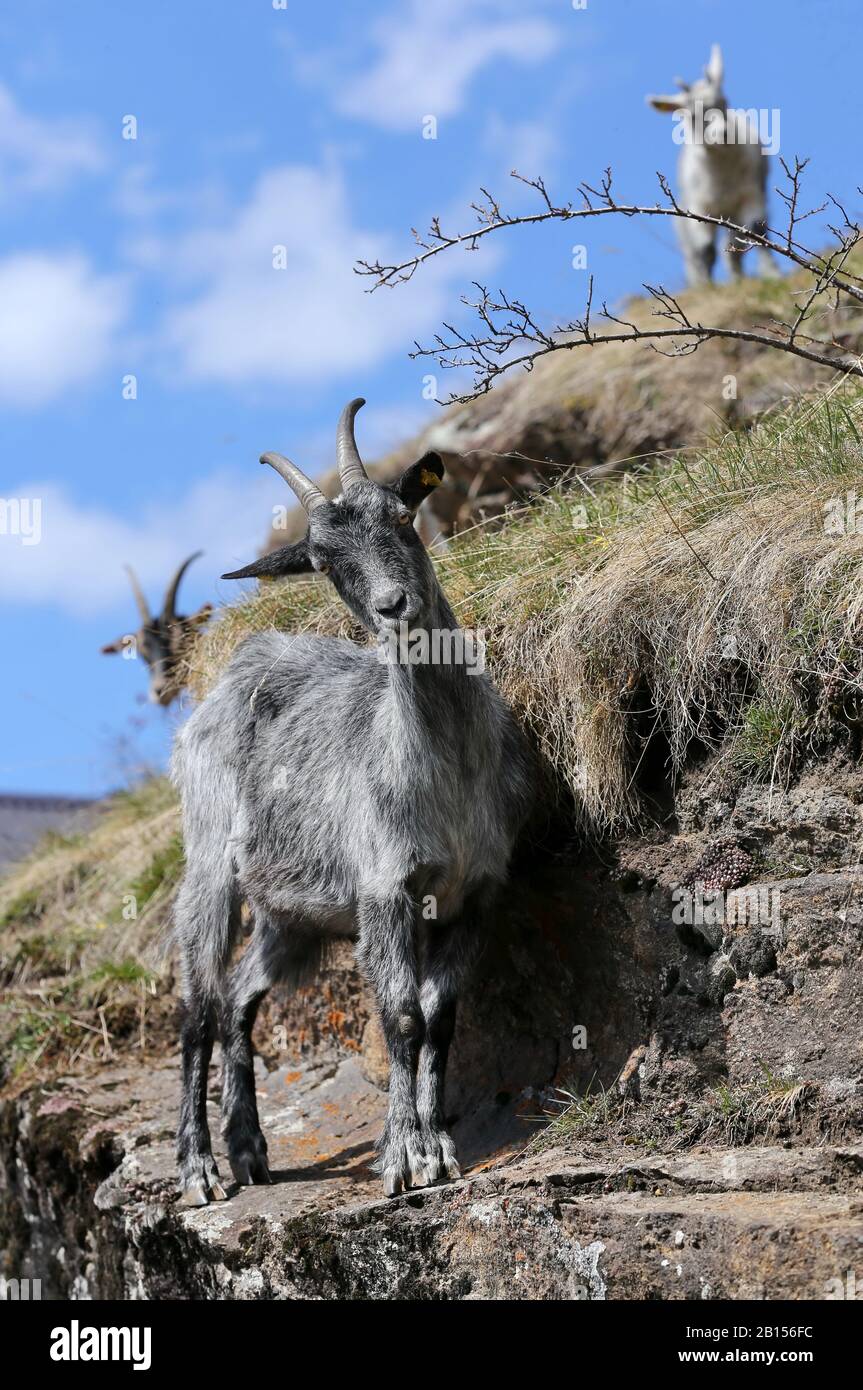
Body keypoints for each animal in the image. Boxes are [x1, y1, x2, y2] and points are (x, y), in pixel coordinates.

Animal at [170, 397, 530, 1200]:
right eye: (326, 564)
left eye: (400, 517)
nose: (394, 605)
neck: (441, 766)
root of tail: (238, 670)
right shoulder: (384, 888)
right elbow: (399, 1016)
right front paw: (406, 1157)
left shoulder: (476, 894)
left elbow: (439, 1015)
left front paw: (438, 1144)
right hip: (209, 862)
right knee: (198, 1005)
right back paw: (200, 1168)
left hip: (292, 914)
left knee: (240, 998)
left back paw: (249, 1148)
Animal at [644, 45, 772, 284]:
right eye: (692, 115)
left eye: (724, 102)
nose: (723, 133)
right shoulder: (699, 206)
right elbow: (706, 250)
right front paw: (708, 286)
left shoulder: (751, 193)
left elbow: (757, 232)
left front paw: (772, 273)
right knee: (696, 254)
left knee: (735, 244)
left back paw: (738, 278)